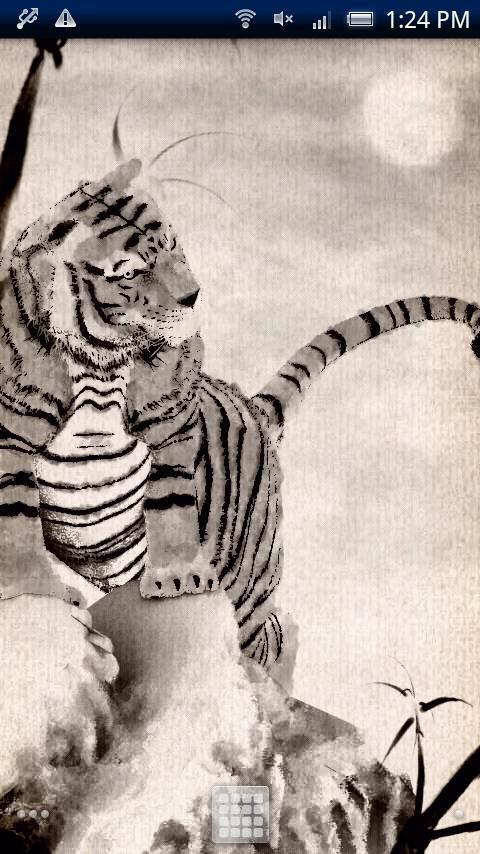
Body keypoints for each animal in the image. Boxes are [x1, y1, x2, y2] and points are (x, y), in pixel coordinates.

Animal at [0, 155, 479, 672]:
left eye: (172, 243)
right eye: (129, 273)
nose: (193, 295)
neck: (100, 352)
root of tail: (253, 405)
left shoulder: (173, 424)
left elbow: (171, 502)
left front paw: (177, 578)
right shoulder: (10, 435)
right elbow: (15, 515)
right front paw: (30, 589)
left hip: (249, 582)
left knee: (272, 634)